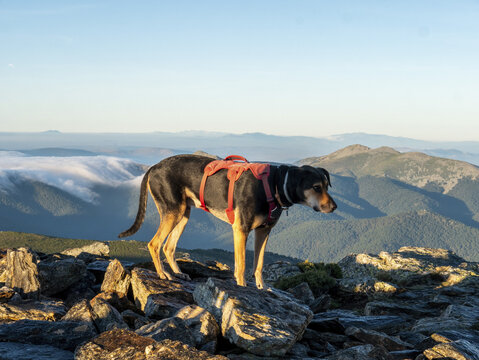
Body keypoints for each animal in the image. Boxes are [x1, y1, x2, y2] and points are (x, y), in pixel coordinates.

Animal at [119, 153, 338, 288]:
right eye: (316, 187)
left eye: (327, 185)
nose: (334, 207)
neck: (273, 184)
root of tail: (154, 167)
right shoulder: (241, 230)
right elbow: (241, 265)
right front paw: (242, 287)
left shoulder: (263, 232)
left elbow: (258, 264)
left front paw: (262, 288)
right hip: (173, 211)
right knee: (154, 244)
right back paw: (163, 274)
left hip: (183, 214)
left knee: (168, 247)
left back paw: (177, 273)